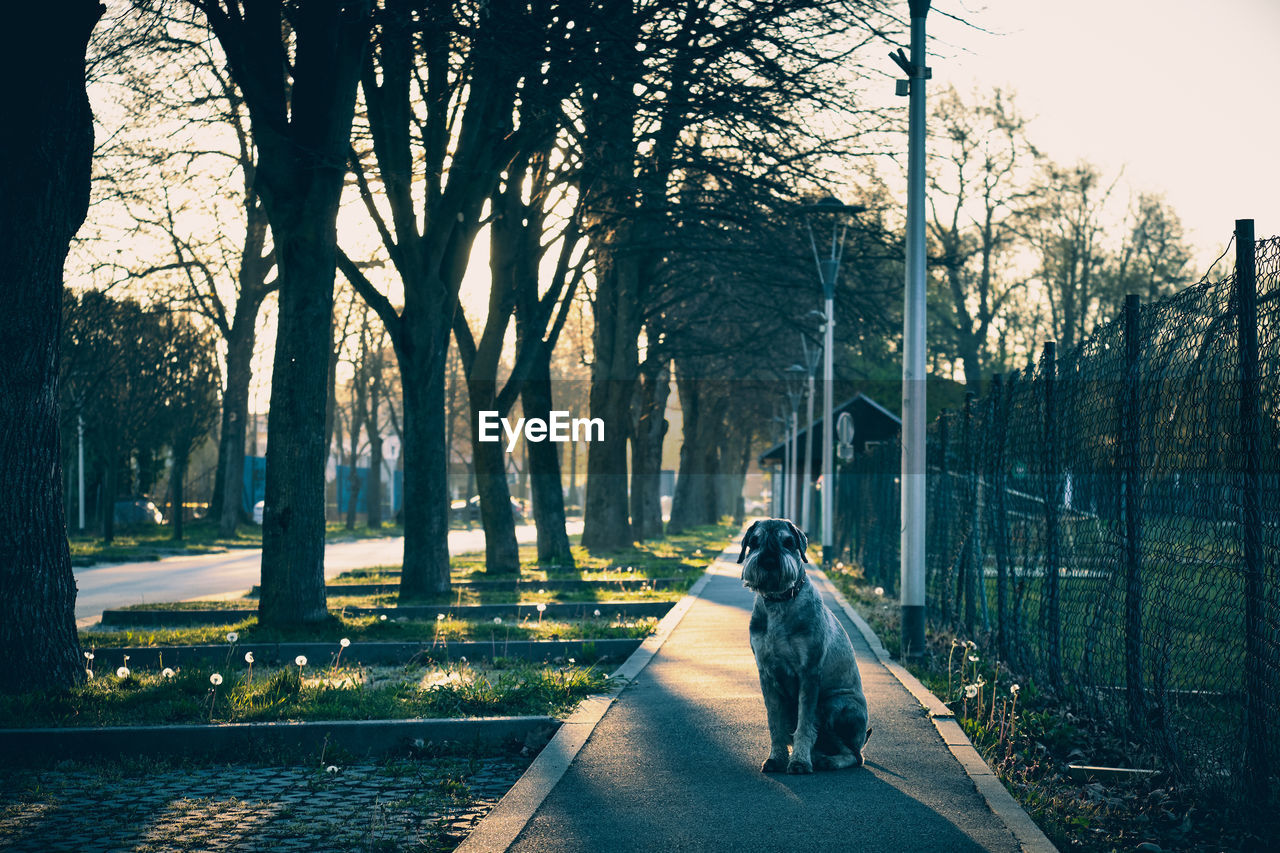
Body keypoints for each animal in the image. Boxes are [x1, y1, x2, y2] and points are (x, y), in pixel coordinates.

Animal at [742, 517, 870, 768]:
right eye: (755, 541)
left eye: (788, 542)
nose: (769, 561)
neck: (779, 602)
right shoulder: (766, 674)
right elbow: (775, 723)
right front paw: (776, 758)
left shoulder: (809, 673)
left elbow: (805, 724)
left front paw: (799, 761)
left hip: (832, 704)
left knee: (855, 754)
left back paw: (826, 761)